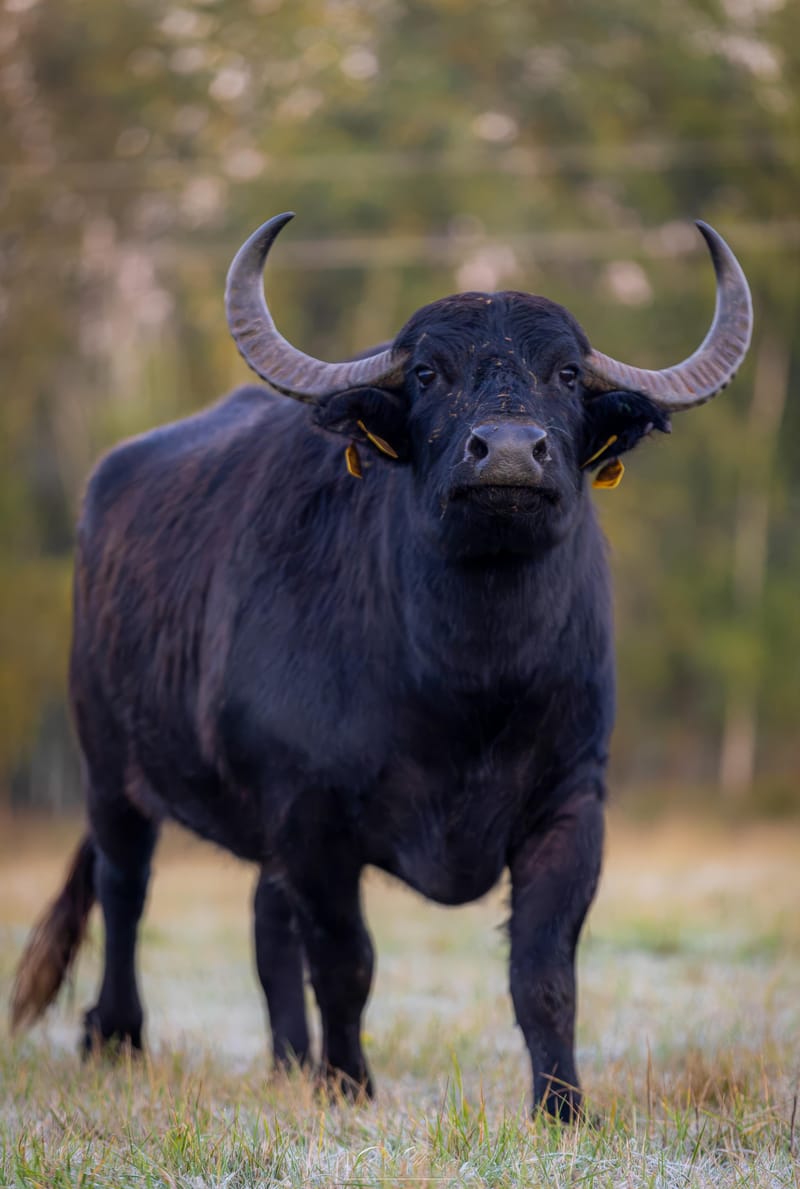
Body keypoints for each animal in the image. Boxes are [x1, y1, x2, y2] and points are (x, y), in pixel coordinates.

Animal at [11, 214, 752, 1118]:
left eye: (568, 372)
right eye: (430, 372)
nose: (509, 453)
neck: (470, 684)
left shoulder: (572, 803)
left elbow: (544, 973)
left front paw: (561, 1104)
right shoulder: (312, 813)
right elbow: (346, 961)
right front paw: (349, 1085)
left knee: (263, 920)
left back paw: (287, 1061)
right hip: (108, 766)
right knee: (126, 889)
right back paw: (118, 1037)